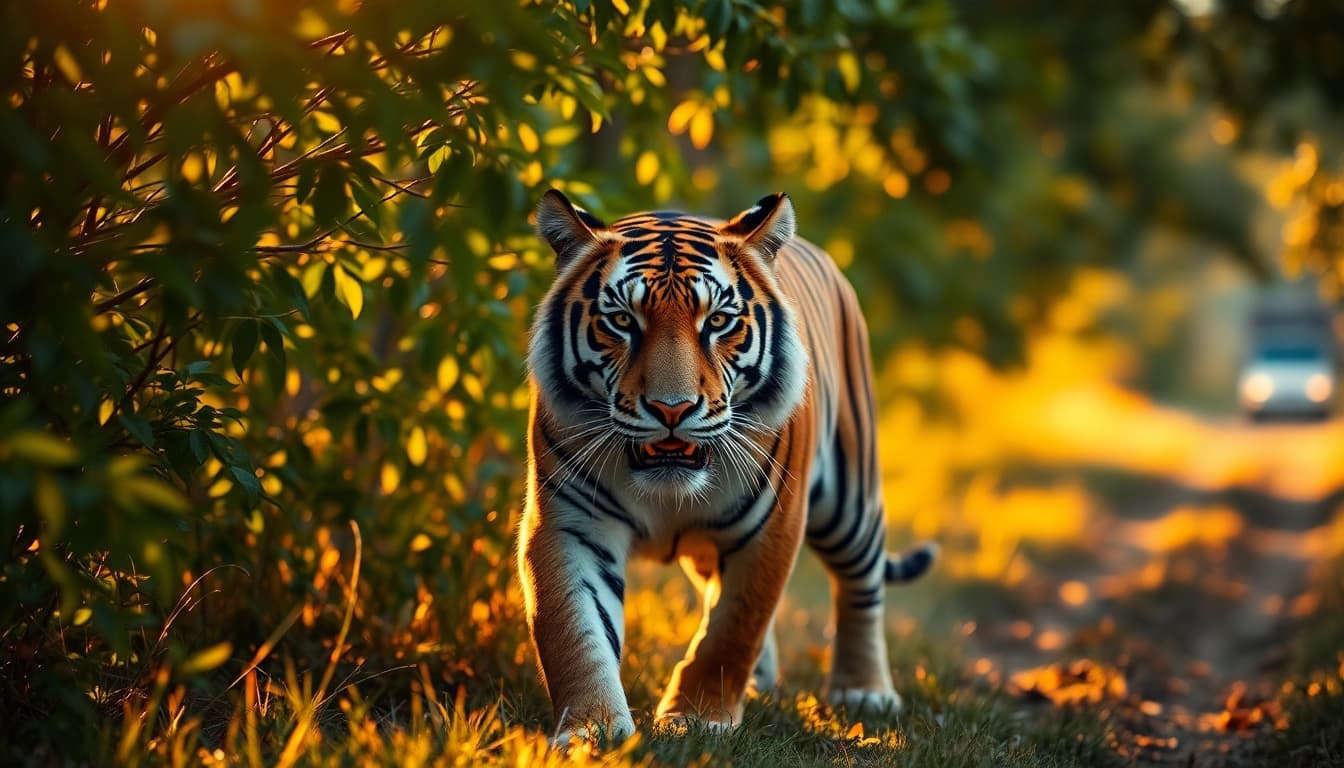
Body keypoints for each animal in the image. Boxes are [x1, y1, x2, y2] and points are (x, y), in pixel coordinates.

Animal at [518, 189, 937, 742]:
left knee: (861, 583)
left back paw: (864, 690)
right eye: (623, 321)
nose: (671, 409)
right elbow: (575, 631)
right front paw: (592, 730)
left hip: (850, 501)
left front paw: (698, 717)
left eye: (717, 321)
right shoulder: (570, 525)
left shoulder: (772, 525)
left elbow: (735, 627)